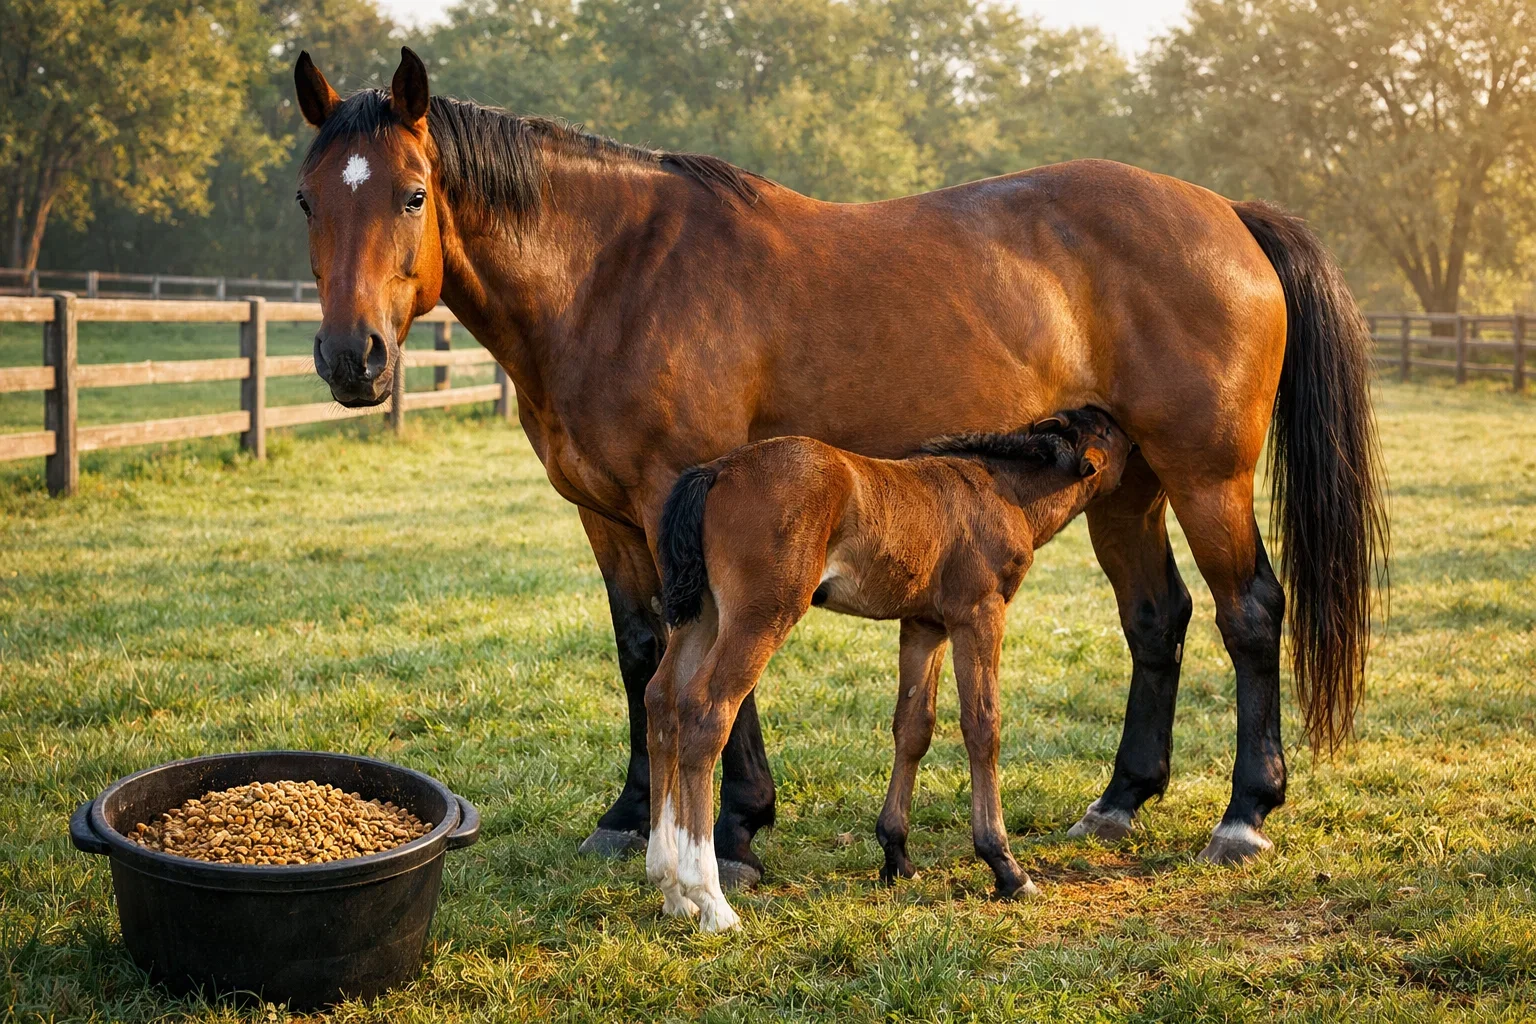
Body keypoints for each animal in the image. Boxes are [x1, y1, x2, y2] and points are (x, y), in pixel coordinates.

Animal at [647, 409, 1131, 930]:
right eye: (1111, 432)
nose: (1137, 442)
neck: (1003, 489)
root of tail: (717, 471)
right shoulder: (978, 612)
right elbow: (982, 727)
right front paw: (1006, 868)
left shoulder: (924, 624)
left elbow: (913, 727)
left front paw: (896, 856)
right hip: (762, 613)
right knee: (706, 710)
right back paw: (711, 900)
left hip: (704, 614)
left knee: (662, 700)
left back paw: (671, 888)